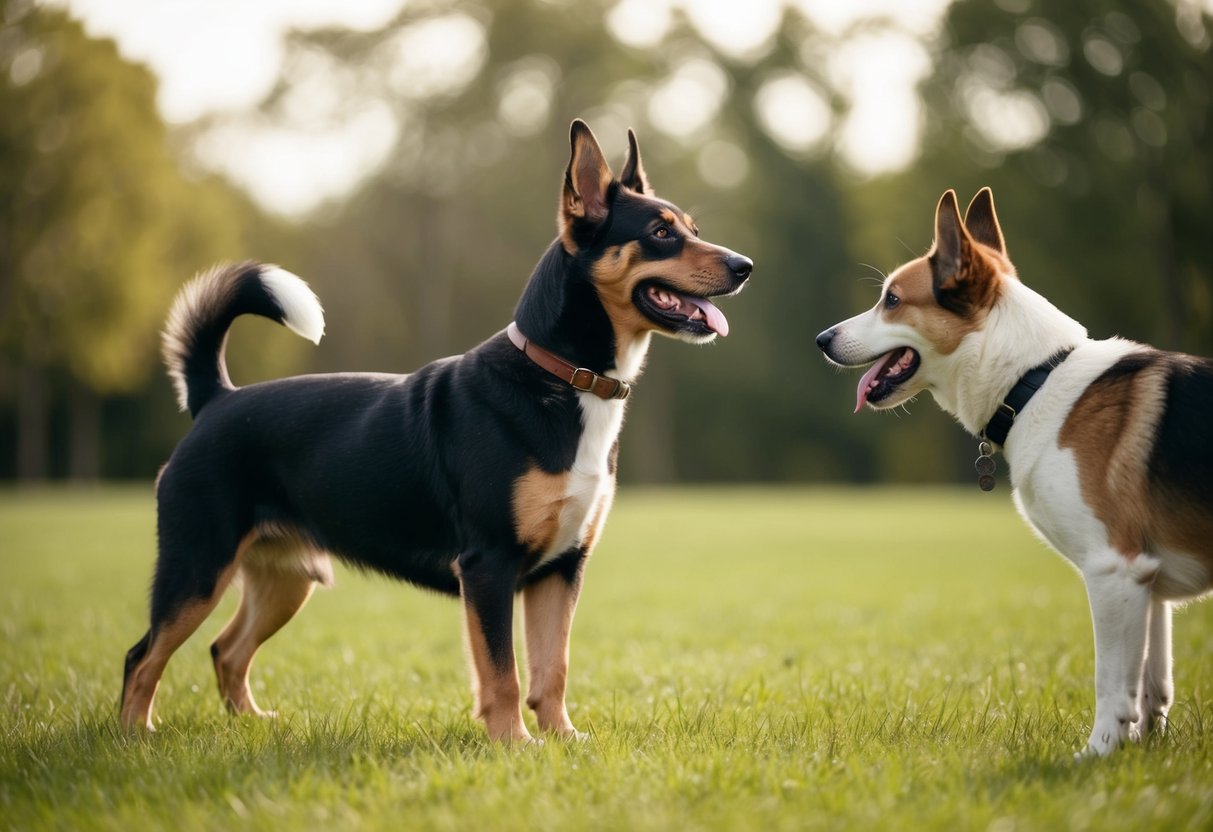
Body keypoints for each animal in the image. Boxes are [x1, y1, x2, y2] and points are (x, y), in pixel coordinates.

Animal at [120, 118, 747, 742]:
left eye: (692, 229)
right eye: (660, 233)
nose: (744, 266)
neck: (565, 379)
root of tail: (217, 399)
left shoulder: (563, 567)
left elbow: (553, 667)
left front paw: (562, 739)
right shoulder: (488, 564)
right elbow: (502, 671)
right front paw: (514, 745)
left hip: (283, 578)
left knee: (226, 649)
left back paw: (252, 723)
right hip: (198, 566)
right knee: (143, 655)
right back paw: (134, 737)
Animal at [815, 187, 1213, 756]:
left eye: (891, 300)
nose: (821, 339)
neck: (1036, 379)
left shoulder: (1113, 569)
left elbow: (1113, 685)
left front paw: (1097, 755)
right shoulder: (1146, 580)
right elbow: (1153, 686)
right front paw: (1141, 751)